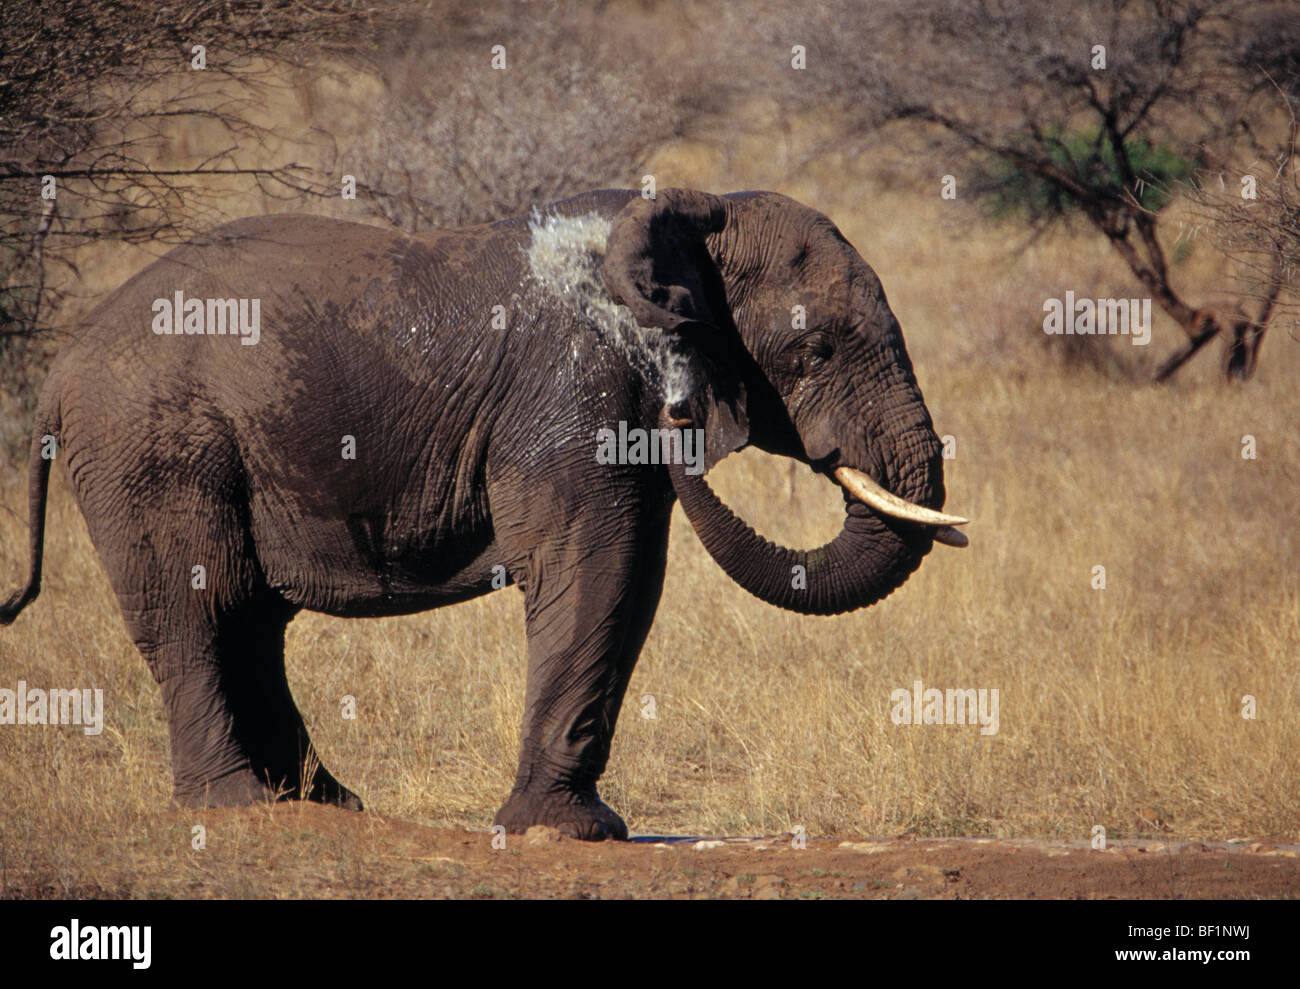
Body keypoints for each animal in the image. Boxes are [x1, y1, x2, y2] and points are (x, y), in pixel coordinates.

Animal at [0, 184, 967, 831]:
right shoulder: (577, 391)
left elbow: (631, 578)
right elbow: (598, 566)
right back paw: (239, 808)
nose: (679, 415)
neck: (682, 214)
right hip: (151, 448)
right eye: (819, 347)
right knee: (197, 607)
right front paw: (568, 832)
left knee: (248, 619)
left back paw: (327, 804)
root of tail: (58, 373)